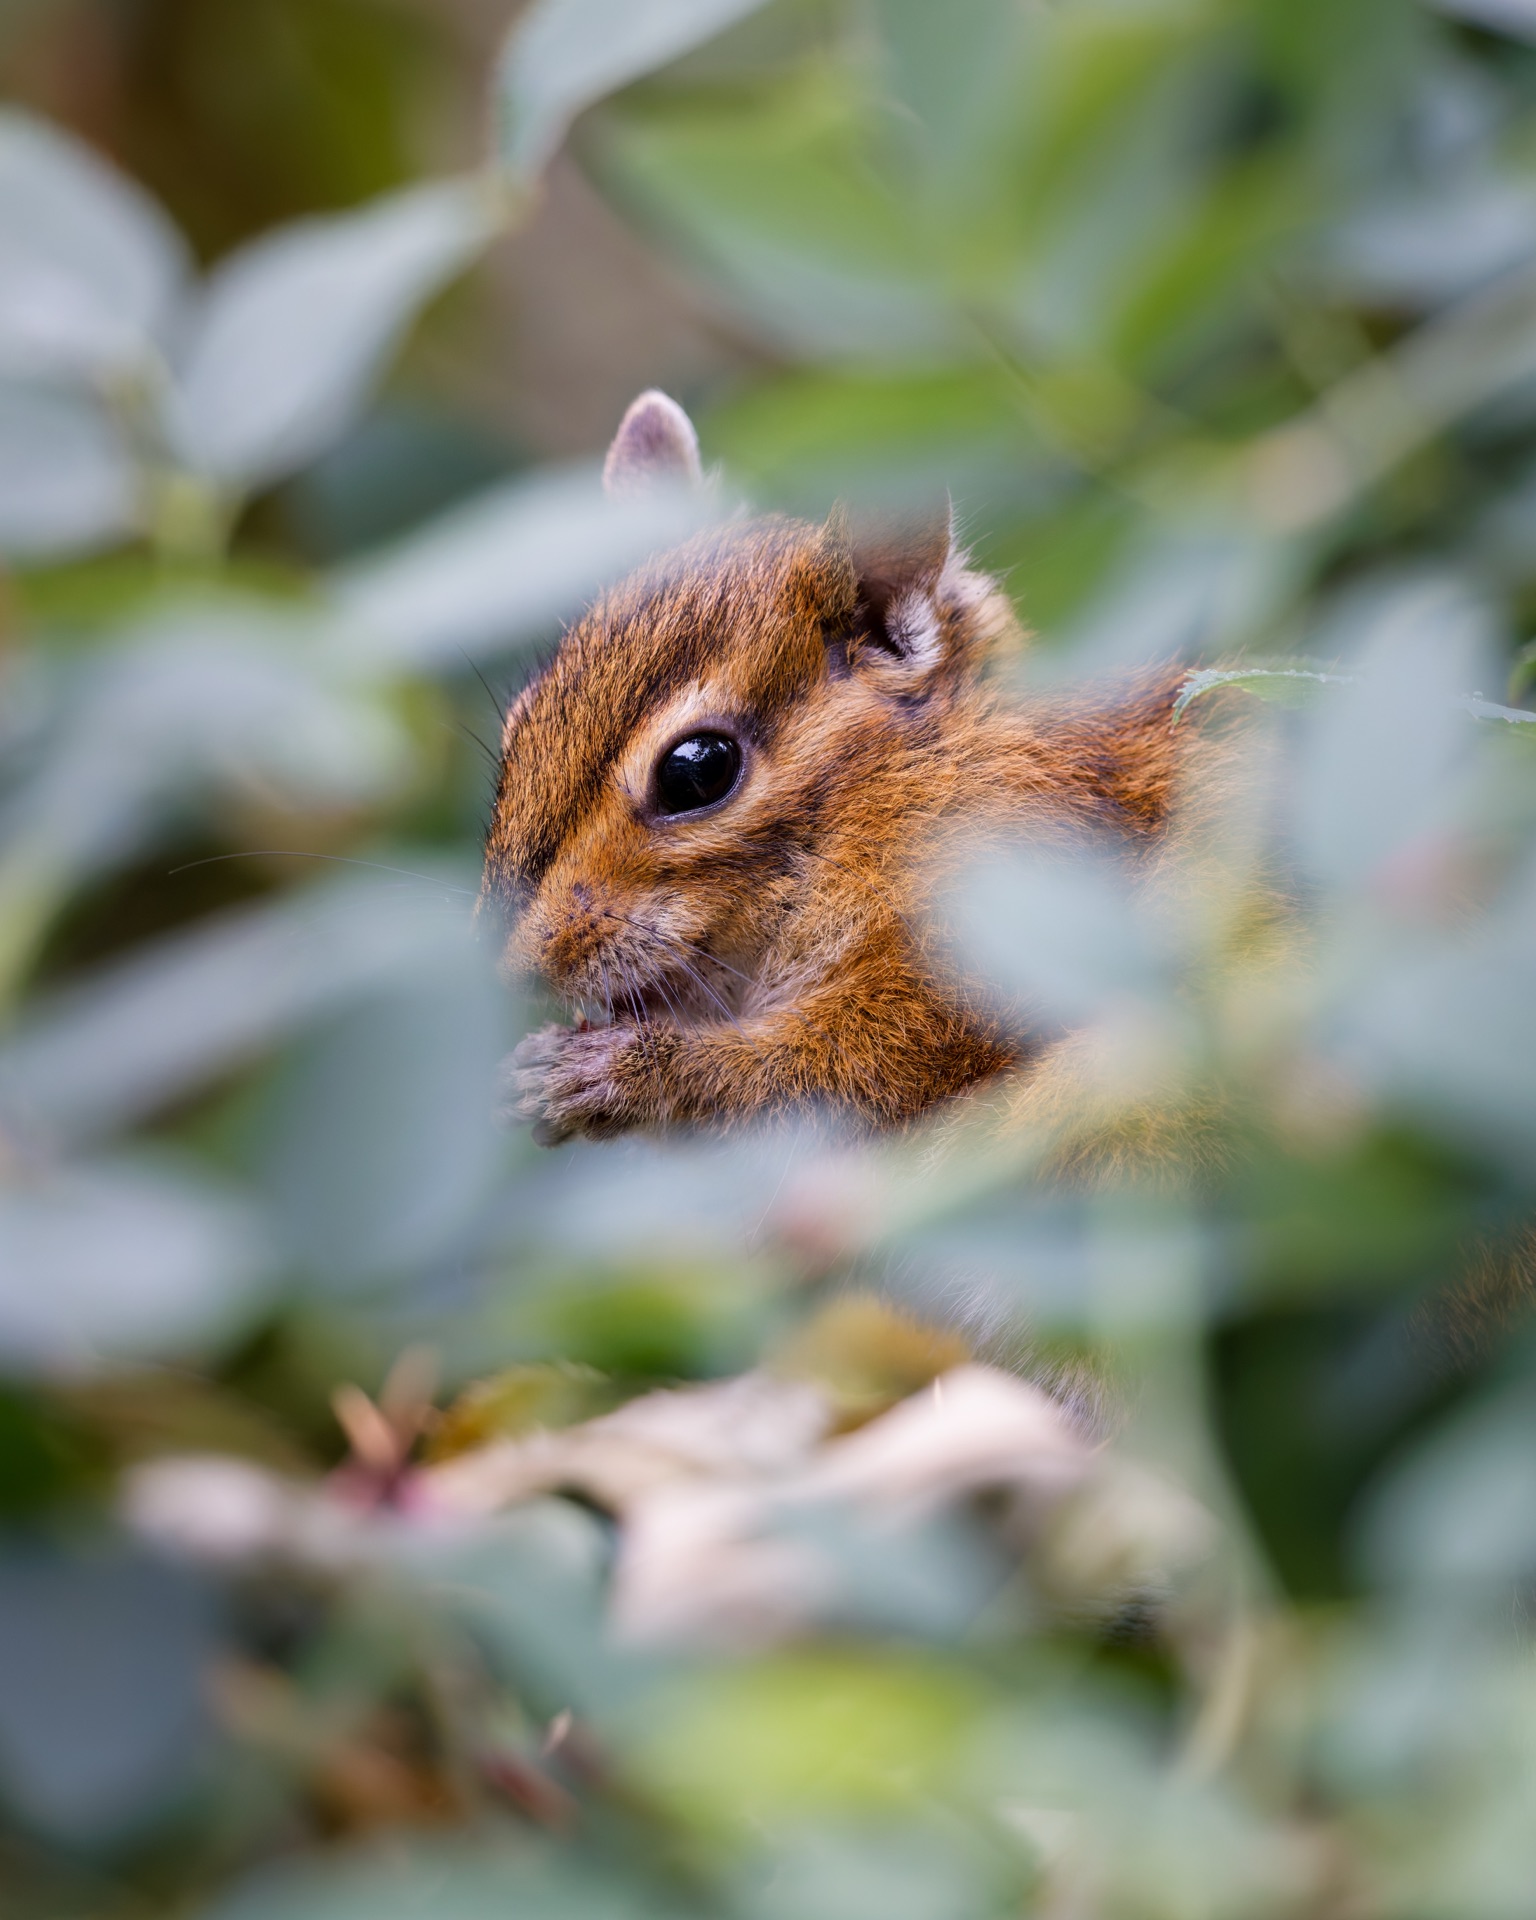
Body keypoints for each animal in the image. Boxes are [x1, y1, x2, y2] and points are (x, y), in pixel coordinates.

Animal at [481, 390, 1217, 1150]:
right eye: (520, 725)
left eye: (697, 771)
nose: (514, 973)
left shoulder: (1033, 884)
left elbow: (859, 1066)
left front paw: (621, 1075)